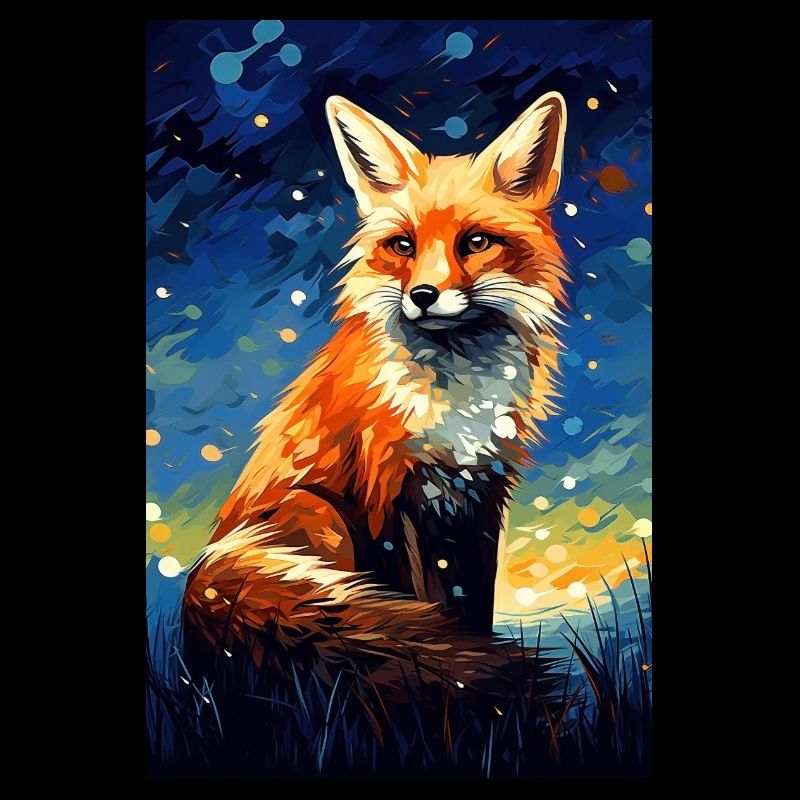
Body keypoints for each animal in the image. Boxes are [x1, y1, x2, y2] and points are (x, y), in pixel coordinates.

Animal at [182, 91, 569, 697]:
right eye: (403, 245)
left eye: (475, 242)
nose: (423, 295)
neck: (454, 401)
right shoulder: (385, 491)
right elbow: (412, 599)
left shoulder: (480, 492)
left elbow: (472, 605)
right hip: (317, 511)